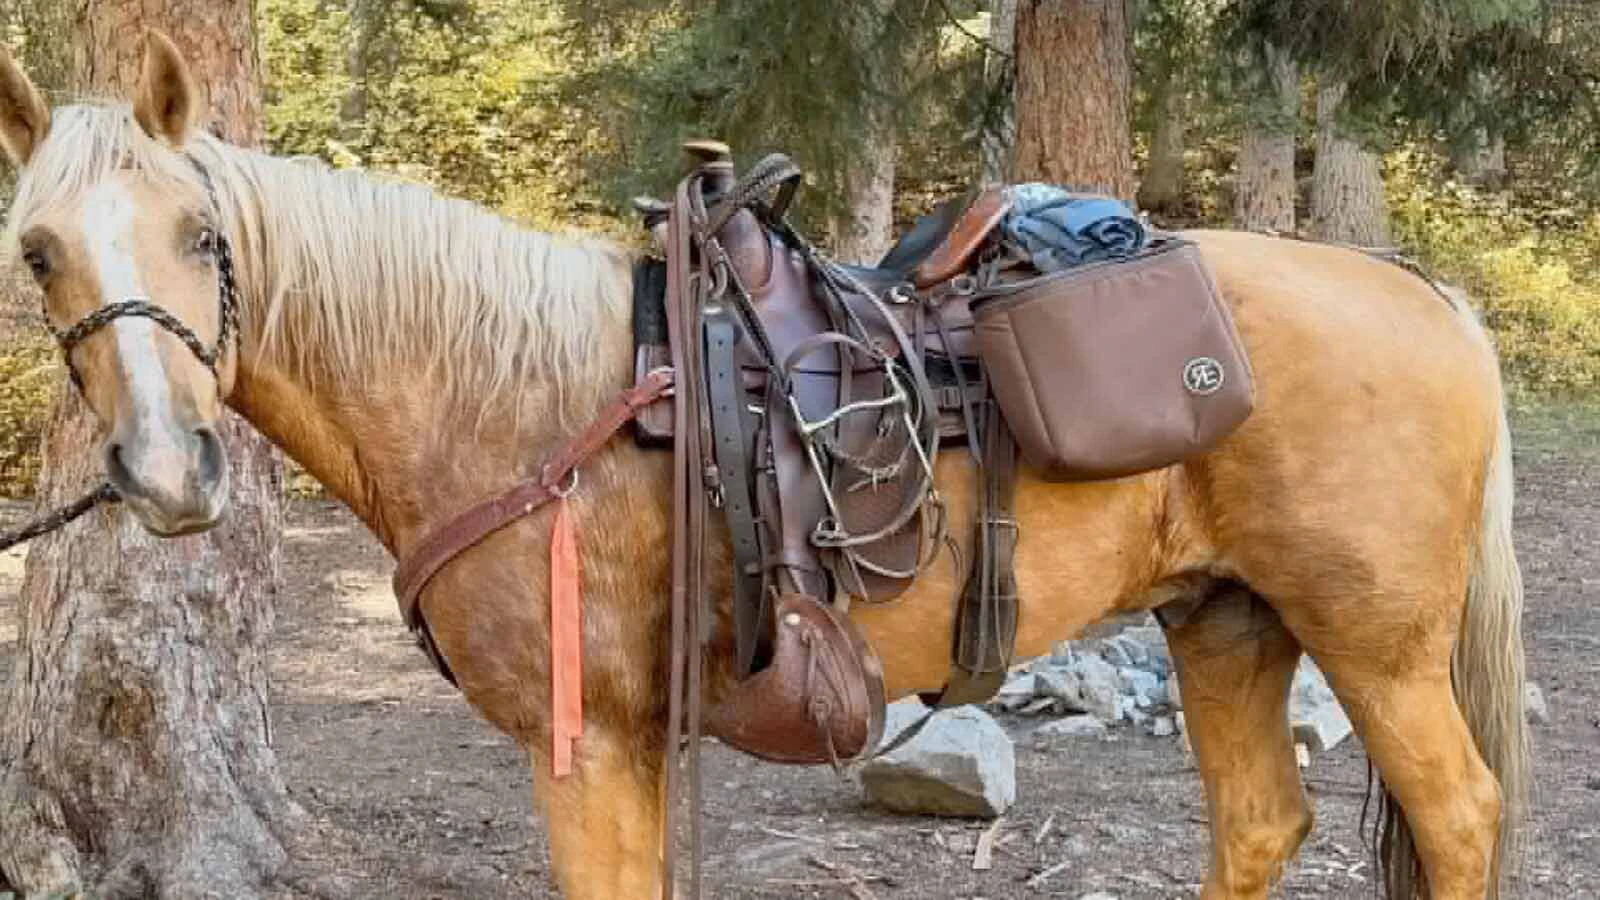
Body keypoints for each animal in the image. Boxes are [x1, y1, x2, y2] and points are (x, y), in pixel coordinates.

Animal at [0, 35, 1528, 900]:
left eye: (203, 236)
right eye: (38, 252)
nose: (169, 470)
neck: (512, 406)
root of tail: (1427, 297)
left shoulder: (584, 745)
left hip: (1376, 646)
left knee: (1458, 819)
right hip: (1227, 621)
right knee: (1260, 825)